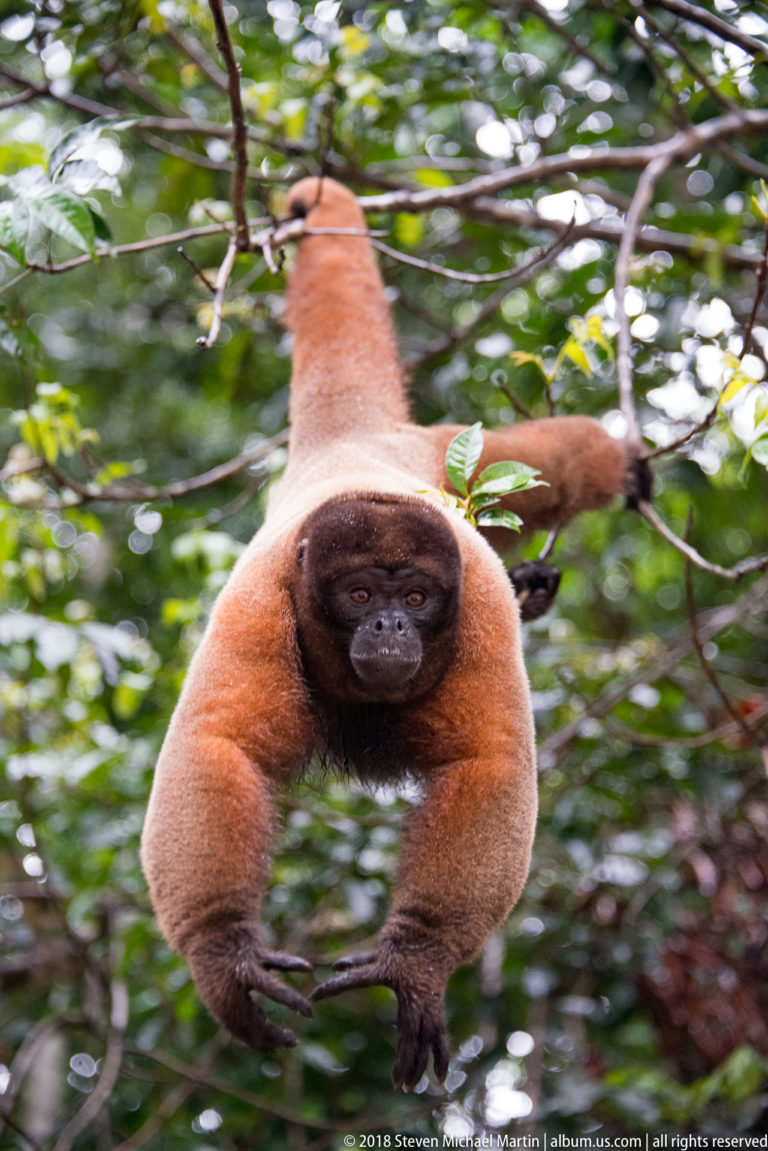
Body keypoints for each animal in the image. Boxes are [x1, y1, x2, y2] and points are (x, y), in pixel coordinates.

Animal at [141, 177, 649, 1090]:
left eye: (415, 594)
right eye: (356, 593)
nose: (387, 623)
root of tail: (353, 440)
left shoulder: (474, 608)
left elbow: (490, 765)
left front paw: (416, 959)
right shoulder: (260, 604)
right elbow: (217, 745)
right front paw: (223, 954)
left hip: (451, 453)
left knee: (553, 467)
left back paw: (613, 466)